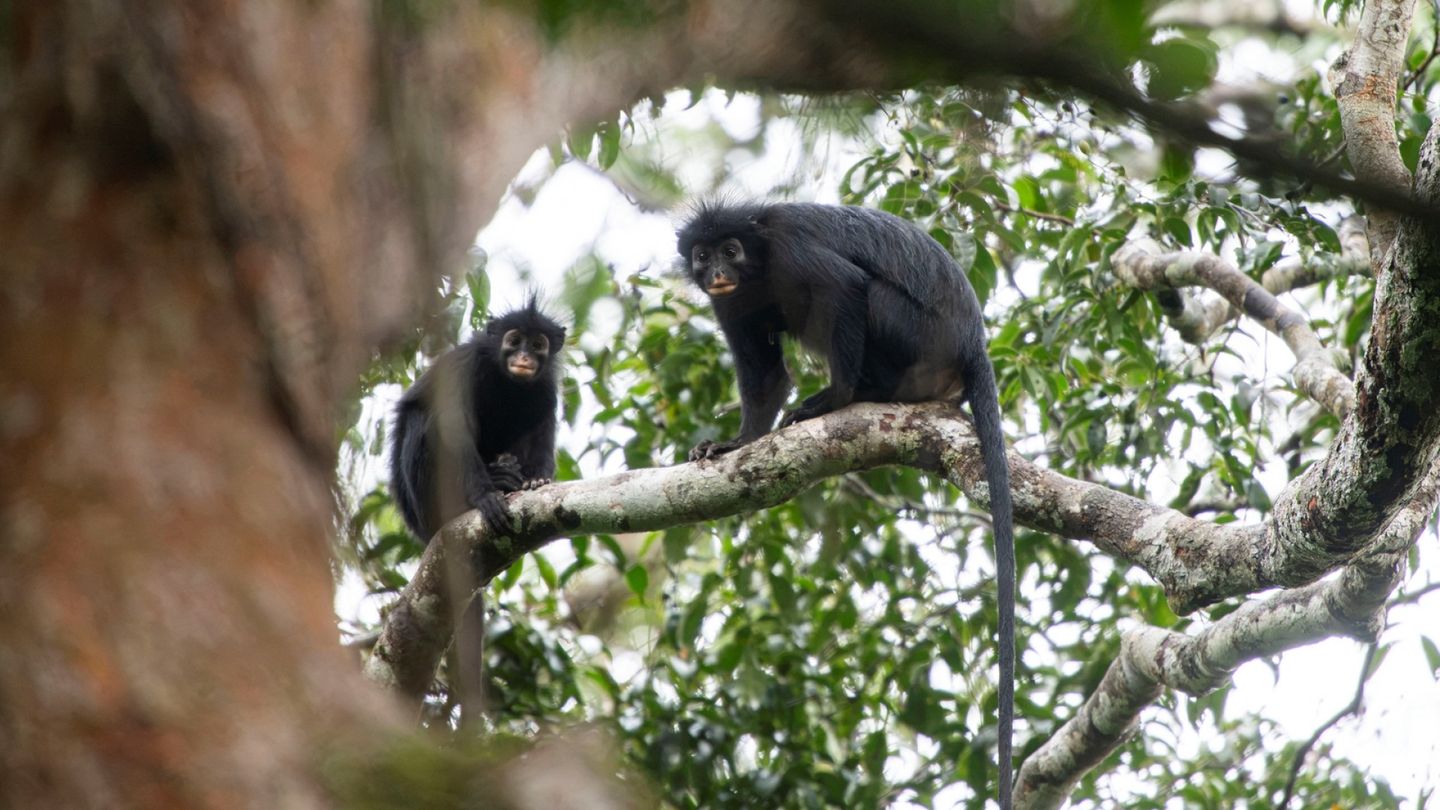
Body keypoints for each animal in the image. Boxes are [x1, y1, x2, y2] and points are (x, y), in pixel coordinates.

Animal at [390, 297, 566, 541]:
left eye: (537, 345)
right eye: (514, 341)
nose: (524, 357)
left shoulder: (546, 387)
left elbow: (542, 433)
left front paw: (537, 479)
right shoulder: (465, 365)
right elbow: (453, 428)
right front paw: (485, 496)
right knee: (420, 419)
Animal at [678, 201, 1016, 808]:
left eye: (731, 250)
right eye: (702, 255)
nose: (716, 269)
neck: (758, 267)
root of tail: (972, 341)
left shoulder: (790, 250)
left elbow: (845, 287)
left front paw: (833, 399)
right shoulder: (731, 302)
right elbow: (765, 375)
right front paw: (736, 444)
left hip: (916, 335)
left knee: (866, 294)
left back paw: (858, 394)